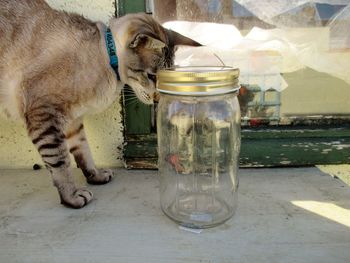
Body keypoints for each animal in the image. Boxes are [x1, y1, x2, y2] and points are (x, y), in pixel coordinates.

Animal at [0, 0, 201, 210]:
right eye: (152, 76)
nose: (157, 99)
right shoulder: (45, 114)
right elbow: (60, 161)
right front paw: (71, 196)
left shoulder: (73, 121)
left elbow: (83, 151)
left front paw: (94, 175)